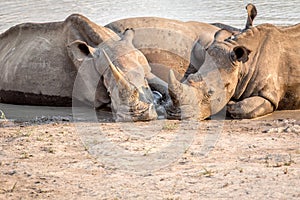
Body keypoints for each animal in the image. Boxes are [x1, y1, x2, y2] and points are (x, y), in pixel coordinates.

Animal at [169, 23, 300, 120]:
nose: (175, 115)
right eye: (189, 76)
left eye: (210, 93)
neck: (243, 66)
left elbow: (244, 107)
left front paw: (231, 104)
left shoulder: (269, 95)